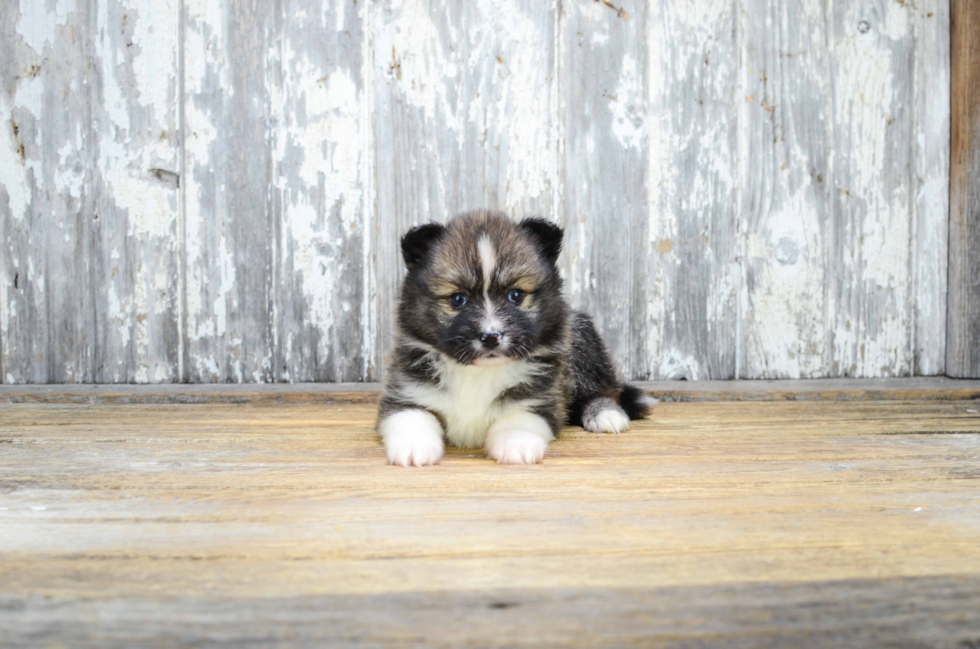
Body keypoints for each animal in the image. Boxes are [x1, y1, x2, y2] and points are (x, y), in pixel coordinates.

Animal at [378, 211, 656, 466]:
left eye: (515, 295)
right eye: (458, 299)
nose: (491, 337)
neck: (477, 373)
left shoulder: (540, 399)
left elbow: (519, 418)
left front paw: (516, 443)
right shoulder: (405, 392)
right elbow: (411, 417)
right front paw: (414, 447)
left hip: (582, 339)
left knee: (603, 389)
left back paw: (605, 413)